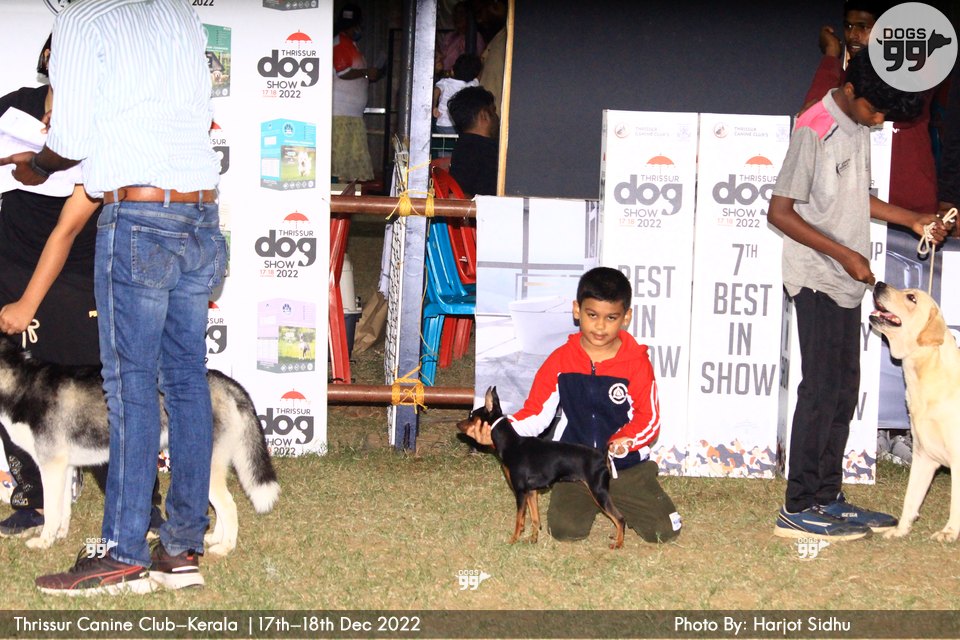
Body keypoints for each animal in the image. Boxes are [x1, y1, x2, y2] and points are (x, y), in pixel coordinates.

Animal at [0, 339, 280, 554]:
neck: (21, 384)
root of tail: (226, 382)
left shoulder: (51, 467)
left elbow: (51, 510)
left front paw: (43, 541)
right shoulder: (65, 467)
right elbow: (63, 510)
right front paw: (59, 535)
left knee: (229, 506)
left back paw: (225, 547)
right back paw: (213, 538)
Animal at [457, 387, 625, 549]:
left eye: (471, 416)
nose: (458, 424)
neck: (511, 444)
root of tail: (601, 454)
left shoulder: (520, 492)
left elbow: (519, 520)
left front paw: (513, 540)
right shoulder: (531, 492)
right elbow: (535, 519)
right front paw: (533, 539)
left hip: (599, 492)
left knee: (620, 518)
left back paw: (618, 543)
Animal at [869, 281, 960, 541]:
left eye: (911, 298)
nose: (878, 283)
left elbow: (956, 502)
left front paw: (949, 532)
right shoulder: (923, 456)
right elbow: (911, 498)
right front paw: (900, 529)